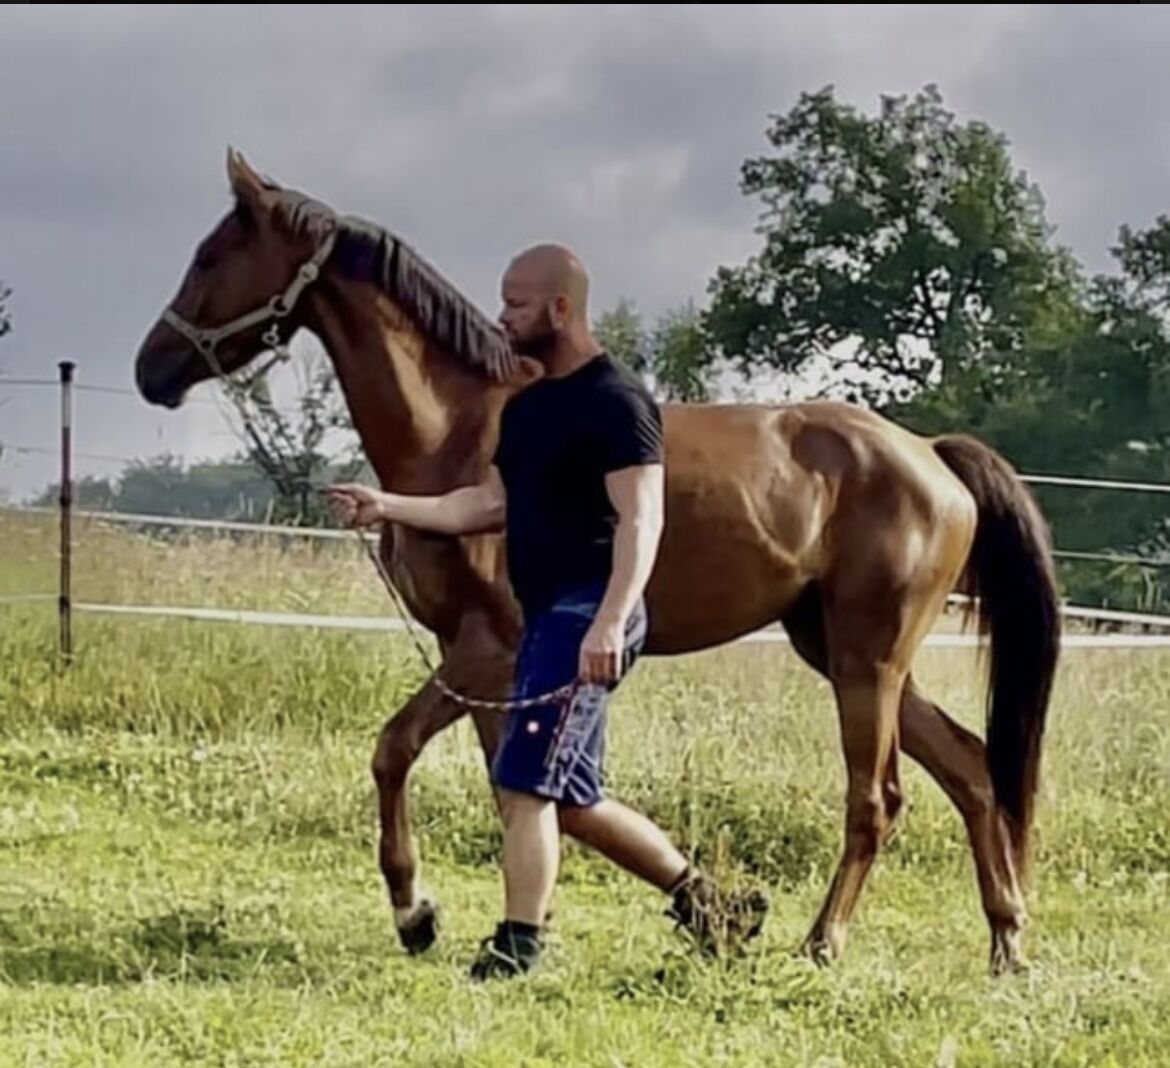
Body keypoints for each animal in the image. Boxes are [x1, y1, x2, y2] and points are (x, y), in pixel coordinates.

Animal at [133, 149, 1060, 974]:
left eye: (213, 255)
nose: (151, 369)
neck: (459, 431)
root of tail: (933, 458)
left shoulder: (493, 649)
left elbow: (402, 754)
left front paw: (417, 912)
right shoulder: (483, 664)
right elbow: (525, 798)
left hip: (869, 659)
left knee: (877, 799)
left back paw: (824, 943)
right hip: (839, 650)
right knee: (972, 770)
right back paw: (1007, 941)